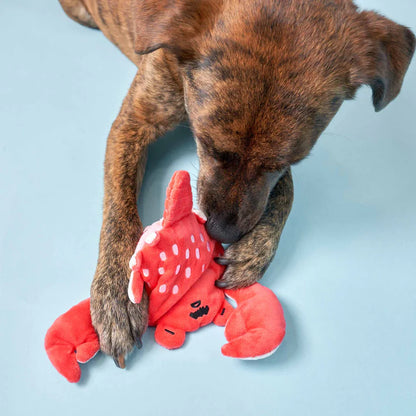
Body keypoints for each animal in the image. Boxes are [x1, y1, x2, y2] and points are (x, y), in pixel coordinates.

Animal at [57, 0, 414, 366]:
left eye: (282, 163)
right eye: (208, 144)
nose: (220, 232)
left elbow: (287, 191)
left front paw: (254, 251)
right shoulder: (133, 124)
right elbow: (119, 208)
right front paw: (119, 292)